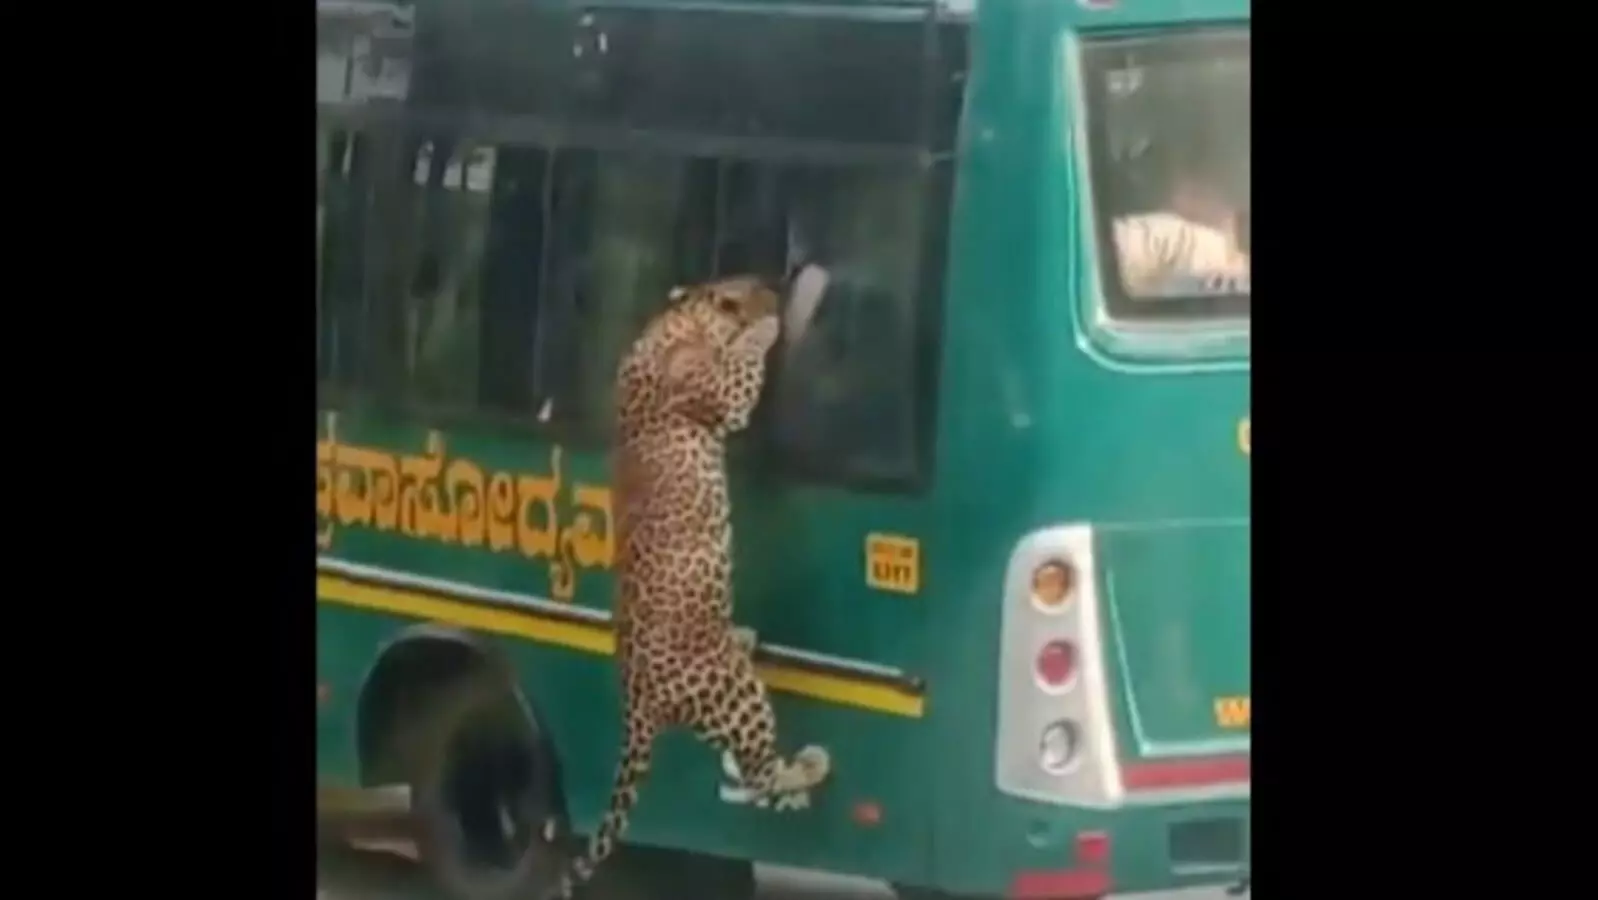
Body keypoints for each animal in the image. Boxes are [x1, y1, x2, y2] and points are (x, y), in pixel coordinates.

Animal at [543, 275, 832, 899]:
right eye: (755, 287)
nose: (776, 288)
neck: (677, 319)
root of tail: (636, 705)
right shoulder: (722, 394)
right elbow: (743, 368)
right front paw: (766, 327)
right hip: (737, 694)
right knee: (758, 773)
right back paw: (810, 765)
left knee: (754, 772)